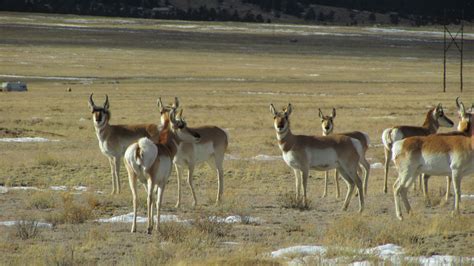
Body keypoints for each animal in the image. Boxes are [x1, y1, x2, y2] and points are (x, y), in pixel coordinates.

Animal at [124, 104, 200, 233]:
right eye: (181, 125)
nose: (197, 135)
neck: (165, 147)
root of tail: (139, 146)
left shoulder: (145, 182)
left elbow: (153, 199)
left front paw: (152, 223)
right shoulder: (162, 182)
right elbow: (158, 201)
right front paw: (156, 227)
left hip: (133, 177)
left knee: (136, 198)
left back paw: (134, 228)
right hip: (151, 179)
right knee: (149, 198)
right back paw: (148, 228)